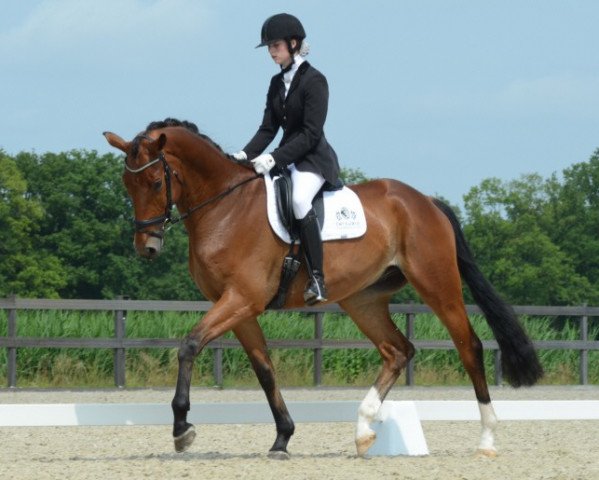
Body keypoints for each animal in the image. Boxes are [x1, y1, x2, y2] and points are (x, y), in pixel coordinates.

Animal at [103, 119, 544, 458]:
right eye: (126, 183)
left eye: (156, 181)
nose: (147, 247)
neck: (224, 208)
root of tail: (426, 201)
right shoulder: (237, 307)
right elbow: (265, 370)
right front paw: (282, 438)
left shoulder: (241, 299)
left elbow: (190, 345)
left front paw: (182, 428)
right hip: (363, 299)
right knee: (398, 350)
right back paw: (363, 431)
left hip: (437, 284)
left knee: (469, 347)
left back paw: (486, 439)